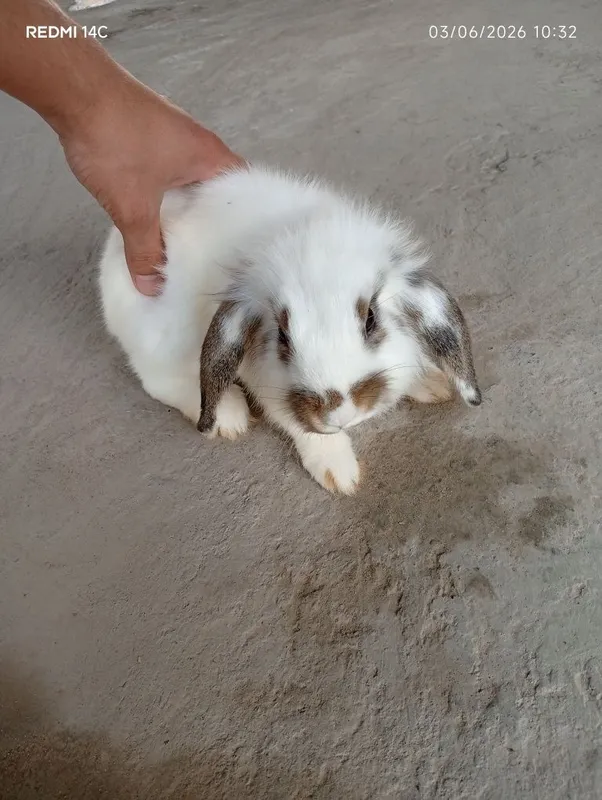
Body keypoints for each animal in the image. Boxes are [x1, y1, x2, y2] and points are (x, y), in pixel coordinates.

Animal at [98, 164, 481, 494]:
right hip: (161, 345)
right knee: (161, 382)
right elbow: (301, 427)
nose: (339, 413)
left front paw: (430, 382)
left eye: (371, 317)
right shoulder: (269, 383)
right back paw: (229, 416)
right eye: (282, 335)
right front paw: (340, 473)